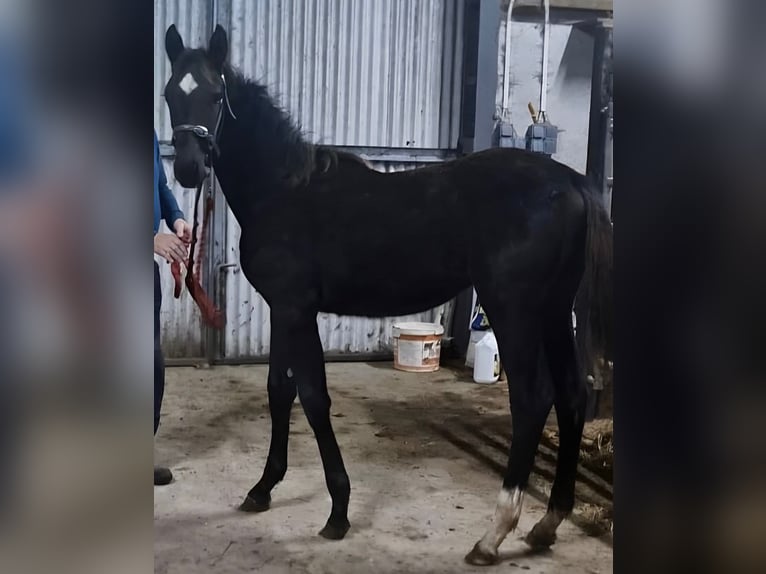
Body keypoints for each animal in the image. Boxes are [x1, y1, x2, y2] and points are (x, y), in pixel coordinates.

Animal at [165, 23, 616, 568]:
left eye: (215, 95)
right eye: (170, 95)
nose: (188, 169)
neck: (284, 190)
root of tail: (572, 183)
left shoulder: (295, 309)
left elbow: (312, 396)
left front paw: (338, 511)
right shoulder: (284, 311)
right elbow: (279, 391)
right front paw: (263, 489)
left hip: (515, 311)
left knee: (532, 401)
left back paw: (493, 536)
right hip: (553, 312)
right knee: (571, 396)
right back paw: (547, 524)